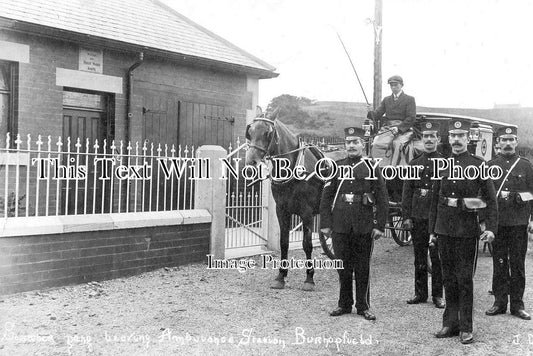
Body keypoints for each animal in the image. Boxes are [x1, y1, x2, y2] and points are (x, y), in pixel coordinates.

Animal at [244, 112, 324, 292]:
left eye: (268, 133)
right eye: (250, 132)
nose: (251, 162)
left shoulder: (307, 213)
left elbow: (307, 244)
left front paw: (309, 279)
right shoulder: (281, 210)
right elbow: (283, 242)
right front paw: (281, 276)